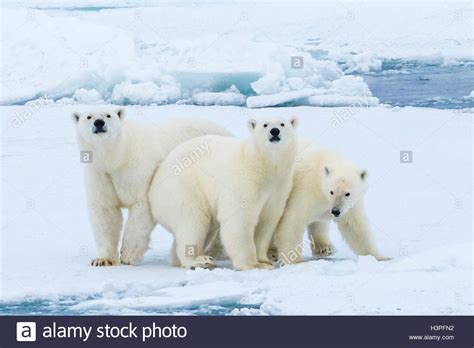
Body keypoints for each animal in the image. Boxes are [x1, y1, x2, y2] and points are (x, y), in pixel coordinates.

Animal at [71, 109, 231, 266]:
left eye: (108, 115)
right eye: (89, 116)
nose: (99, 123)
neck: (119, 156)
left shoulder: (140, 170)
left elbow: (141, 206)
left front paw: (128, 254)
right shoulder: (100, 174)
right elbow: (105, 211)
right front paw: (103, 259)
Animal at [148, 116, 298, 270]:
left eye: (282, 124)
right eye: (265, 125)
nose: (275, 131)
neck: (262, 165)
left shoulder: (278, 187)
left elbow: (267, 221)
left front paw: (264, 261)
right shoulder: (244, 181)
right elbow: (240, 219)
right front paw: (252, 264)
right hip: (183, 188)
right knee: (193, 220)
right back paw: (200, 260)